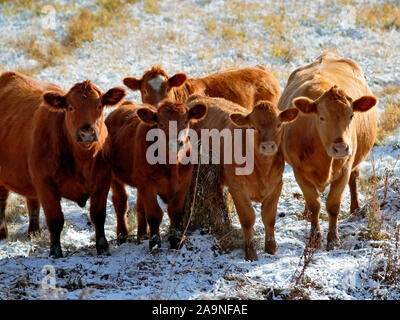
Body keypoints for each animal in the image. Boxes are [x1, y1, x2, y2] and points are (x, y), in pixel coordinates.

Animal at [0, 70, 126, 258]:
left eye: (99, 106)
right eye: (70, 107)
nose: (86, 133)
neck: (82, 161)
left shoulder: (103, 180)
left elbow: (98, 215)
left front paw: (103, 247)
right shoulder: (46, 184)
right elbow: (55, 219)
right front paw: (55, 251)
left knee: (32, 202)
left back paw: (34, 232)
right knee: (2, 200)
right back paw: (2, 233)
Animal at [104, 99, 208, 251]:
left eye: (185, 122)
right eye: (161, 123)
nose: (175, 143)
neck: (171, 164)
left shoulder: (184, 183)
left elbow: (175, 212)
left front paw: (176, 240)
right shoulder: (147, 184)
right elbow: (154, 214)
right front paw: (155, 243)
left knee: (140, 206)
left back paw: (142, 235)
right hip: (114, 175)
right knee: (120, 202)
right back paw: (122, 237)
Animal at [186, 94, 298, 260]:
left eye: (278, 125)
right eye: (253, 127)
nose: (268, 146)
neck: (262, 169)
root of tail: (197, 98)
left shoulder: (276, 186)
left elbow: (269, 218)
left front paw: (271, 249)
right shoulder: (237, 189)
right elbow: (248, 219)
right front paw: (250, 253)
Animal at [278, 51, 378, 249]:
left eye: (351, 116)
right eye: (322, 118)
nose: (340, 147)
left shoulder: (344, 168)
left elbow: (333, 204)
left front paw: (333, 240)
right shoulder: (298, 171)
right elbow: (314, 204)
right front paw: (315, 239)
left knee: (354, 178)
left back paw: (355, 208)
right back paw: (306, 213)